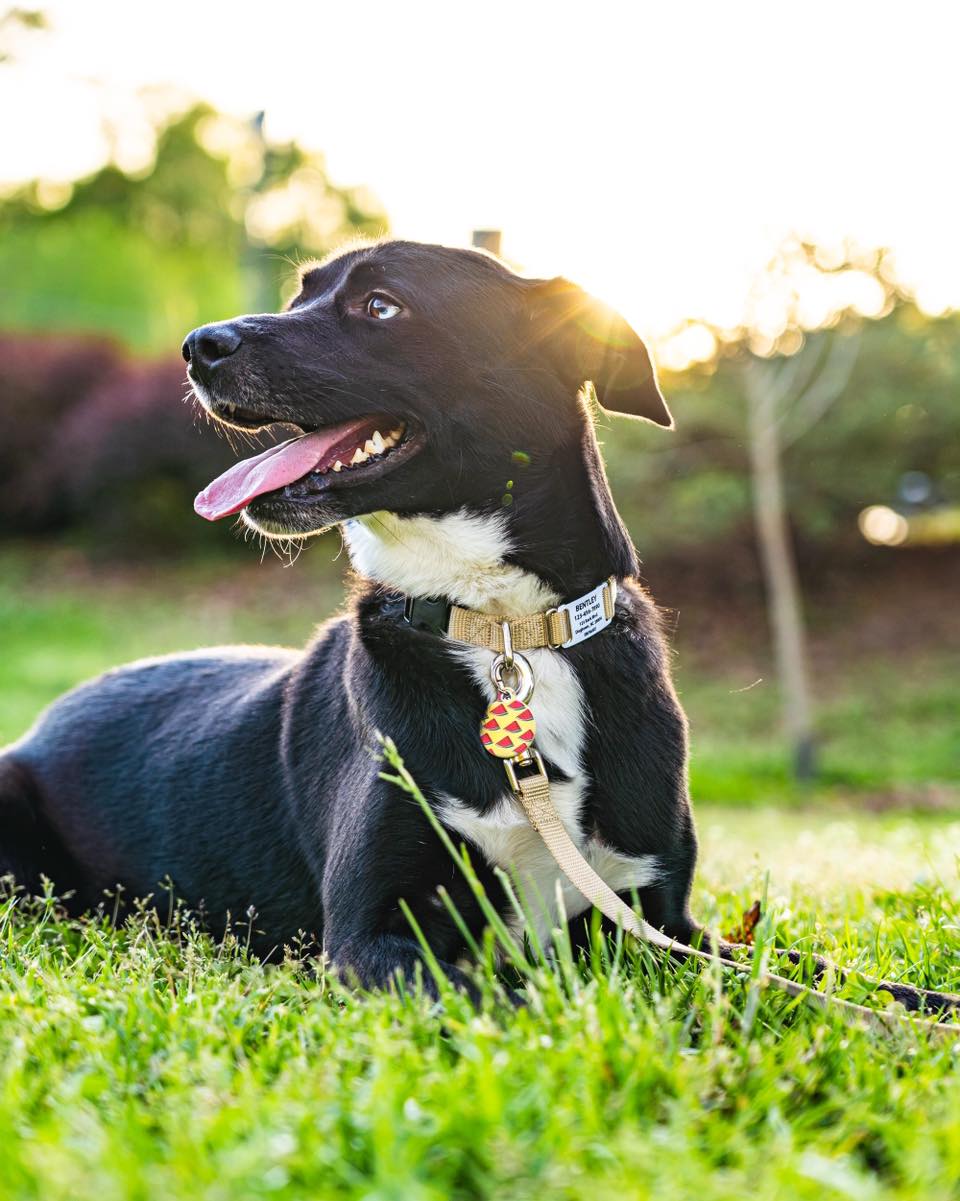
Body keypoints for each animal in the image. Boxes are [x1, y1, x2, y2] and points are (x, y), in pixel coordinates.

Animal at [1, 241, 706, 994]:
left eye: (380, 305)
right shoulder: (368, 936)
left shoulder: (663, 920)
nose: (196, 346)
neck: (503, 628)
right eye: (298, 296)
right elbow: (498, 1001)